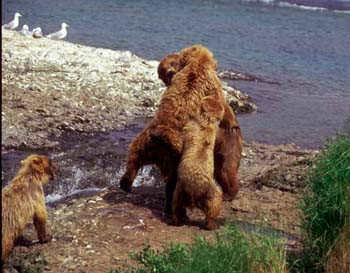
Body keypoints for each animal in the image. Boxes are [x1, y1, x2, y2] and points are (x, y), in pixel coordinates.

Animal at [157, 52, 242, 200]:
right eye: (163, 76)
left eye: (167, 70)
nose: (169, 75)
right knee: (220, 170)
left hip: (228, 145)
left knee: (226, 170)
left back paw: (230, 193)